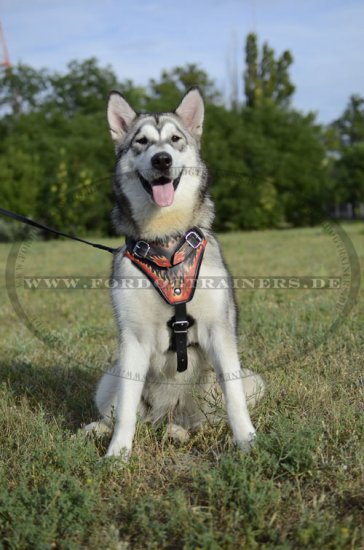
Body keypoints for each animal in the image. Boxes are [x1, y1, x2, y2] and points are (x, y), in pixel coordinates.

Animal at [85, 88, 264, 460]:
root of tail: (165, 415)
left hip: (245, 382)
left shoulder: (219, 331)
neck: (166, 243)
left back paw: (178, 432)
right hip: (110, 376)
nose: (162, 160)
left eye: (175, 139)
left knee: (201, 419)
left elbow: (235, 400)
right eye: (141, 141)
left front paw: (247, 442)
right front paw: (117, 455)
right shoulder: (134, 338)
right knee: (125, 411)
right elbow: (125, 410)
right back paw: (99, 430)